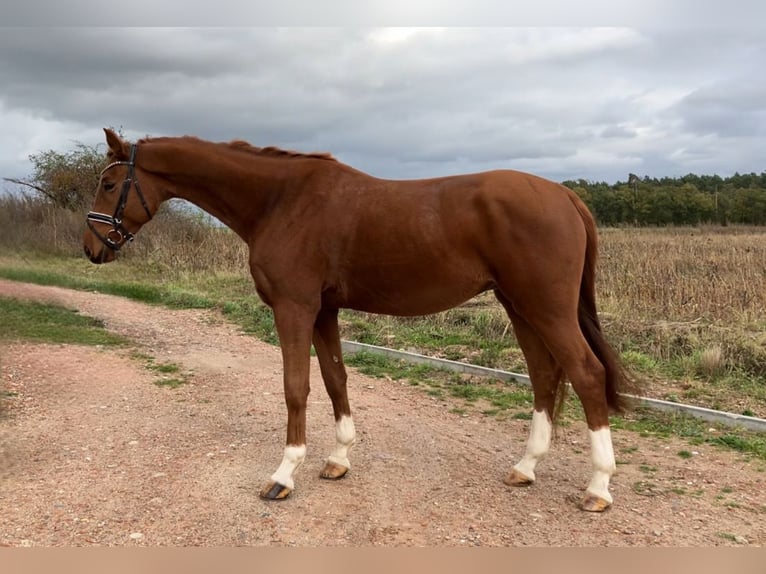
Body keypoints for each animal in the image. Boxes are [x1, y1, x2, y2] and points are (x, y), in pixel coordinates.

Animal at [83, 128, 635, 512]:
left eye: (109, 183)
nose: (91, 249)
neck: (281, 201)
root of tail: (565, 196)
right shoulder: (324, 310)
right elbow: (334, 379)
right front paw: (338, 459)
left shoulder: (294, 307)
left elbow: (296, 387)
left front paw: (284, 475)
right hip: (519, 306)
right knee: (545, 376)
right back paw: (525, 467)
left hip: (546, 307)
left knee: (587, 375)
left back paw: (598, 487)